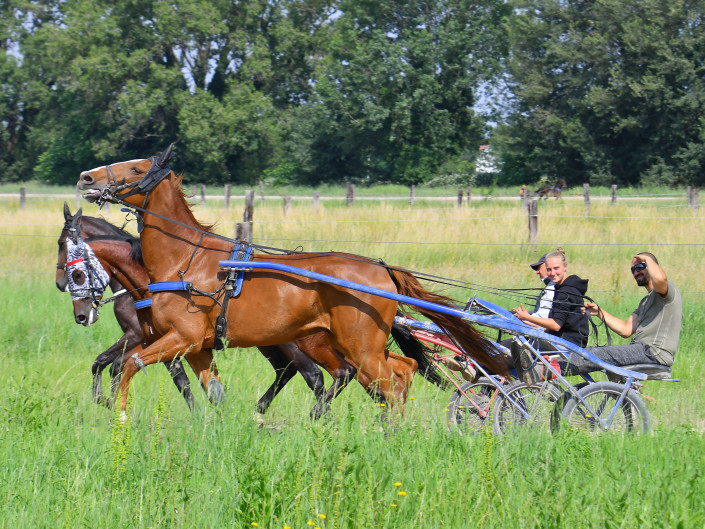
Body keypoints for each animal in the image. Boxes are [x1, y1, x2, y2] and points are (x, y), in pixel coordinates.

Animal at [77, 144, 504, 412]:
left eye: (137, 168)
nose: (85, 177)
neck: (186, 260)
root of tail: (381, 267)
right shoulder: (196, 347)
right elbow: (211, 393)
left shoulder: (181, 338)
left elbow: (128, 366)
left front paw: (120, 416)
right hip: (349, 345)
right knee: (402, 371)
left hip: (357, 347)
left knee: (385, 382)